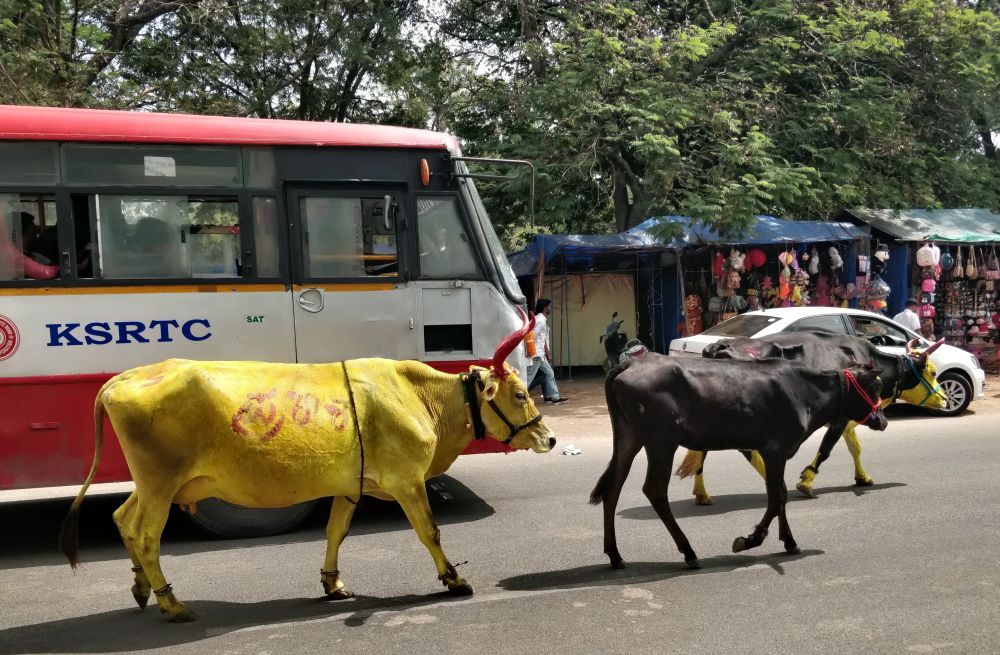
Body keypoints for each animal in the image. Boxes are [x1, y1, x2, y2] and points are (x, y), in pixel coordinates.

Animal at [60, 310, 556, 624]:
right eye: (519, 394)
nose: (549, 438)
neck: (418, 396)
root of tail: (122, 379)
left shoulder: (351, 484)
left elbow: (336, 531)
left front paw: (333, 584)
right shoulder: (407, 480)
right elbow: (430, 532)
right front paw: (454, 579)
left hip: (152, 485)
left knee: (123, 519)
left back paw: (142, 589)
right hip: (161, 484)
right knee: (144, 534)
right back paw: (172, 605)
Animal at [588, 354, 888, 568]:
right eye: (875, 386)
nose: (883, 421)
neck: (805, 394)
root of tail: (628, 364)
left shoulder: (775, 453)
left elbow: (780, 494)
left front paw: (789, 541)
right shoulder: (775, 449)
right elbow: (776, 497)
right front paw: (750, 540)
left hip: (629, 437)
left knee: (613, 488)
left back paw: (615, 555)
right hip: (661, 441)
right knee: (655, 491)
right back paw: (688, 552)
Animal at [688, 334, 944, 502]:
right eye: (932, 372)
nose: (944, 400)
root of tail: (719, 345)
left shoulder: (848, 418)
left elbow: (855, 448)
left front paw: (863, 477)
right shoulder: (841, 419)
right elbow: (826, 449)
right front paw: (805, 482)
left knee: (702, 449)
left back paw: (702, 493)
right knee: (745, 450)